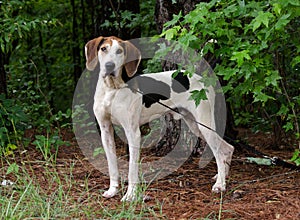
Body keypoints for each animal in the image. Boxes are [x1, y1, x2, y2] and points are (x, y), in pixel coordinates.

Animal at [84, 35, 234, 201]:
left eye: (119, 51)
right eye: (103, 49)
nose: (109, 66)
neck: (112, 89)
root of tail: (198, 76)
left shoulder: (133, 133)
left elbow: (132, 169)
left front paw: (130, 195)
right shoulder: (106, 131)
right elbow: (112, 166)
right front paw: (112, 190)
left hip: (204, 124)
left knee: (219, 152)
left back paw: (220, 185)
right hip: (195, 125)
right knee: (228, 148)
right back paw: (221, 177)